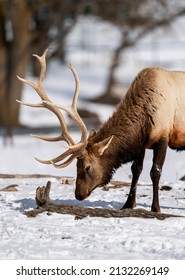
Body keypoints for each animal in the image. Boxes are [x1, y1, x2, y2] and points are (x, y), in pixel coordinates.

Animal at [16, 49, 184, 212]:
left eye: (87, 167)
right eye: (76, 165)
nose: (78, 194)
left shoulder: (163, 136)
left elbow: (155, 171)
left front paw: (155, 208)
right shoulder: (141, 143)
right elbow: (136, 169)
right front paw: (128, 204)